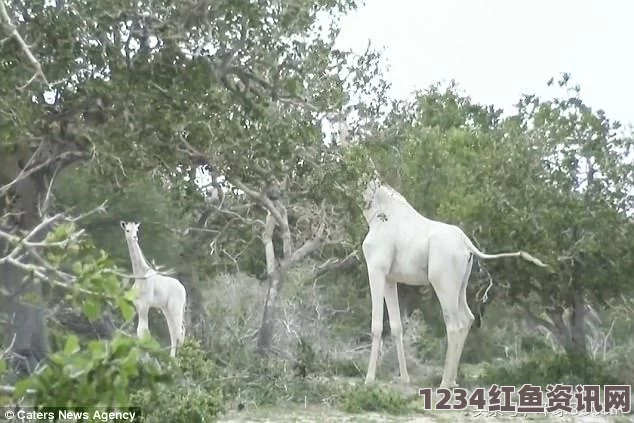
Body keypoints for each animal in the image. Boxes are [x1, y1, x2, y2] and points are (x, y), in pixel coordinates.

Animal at [119, 222, 185, 358]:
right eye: (127, 230)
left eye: (137, 230)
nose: (135, 237)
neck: (140, 276)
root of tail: (184, 289)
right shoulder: (138, 305)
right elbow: (140, 332)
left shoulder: (145, 305)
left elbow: (145, 332)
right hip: (166, 309)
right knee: (174, 332)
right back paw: (172, 359)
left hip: (176, 307)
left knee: (180, 331)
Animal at [360, 177, 548, 390]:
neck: (379, 215)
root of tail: (466, 244)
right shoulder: (391, 278)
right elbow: (396, 326)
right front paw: (405, 379)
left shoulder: (376, 269)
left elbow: (376, 325)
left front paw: (369, 379)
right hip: (460, 285)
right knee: (467, 318)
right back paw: (452, 380)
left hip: (443, 283)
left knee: (454, 325)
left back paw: (444, 383)